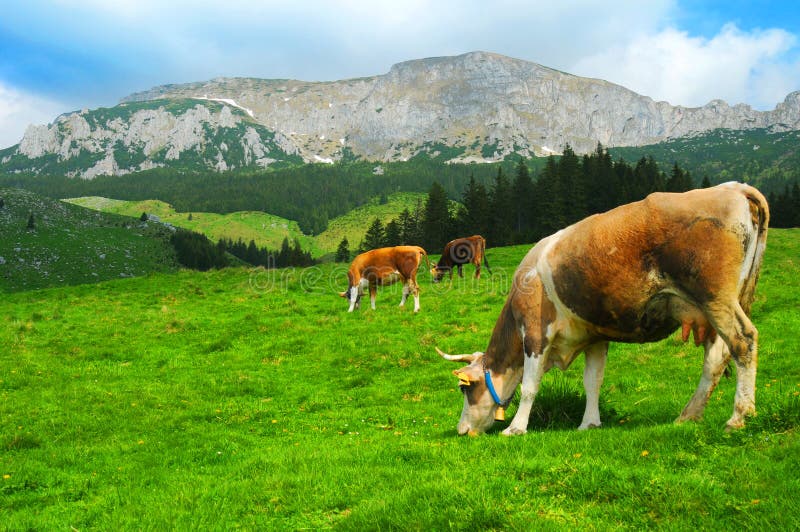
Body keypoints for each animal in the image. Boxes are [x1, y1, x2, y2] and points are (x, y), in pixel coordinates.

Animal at [438, 183, 768, 436]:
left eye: (465, 389)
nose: (461, 430)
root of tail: (734, 187)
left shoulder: (534, 332)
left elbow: (531, 385)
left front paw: (516, 428)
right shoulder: (594, 337)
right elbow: (593, 382)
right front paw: (590, 423)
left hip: (715, 298)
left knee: (743, 341)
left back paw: (739, 416)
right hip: (712, 308)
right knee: (716, 358)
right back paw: (689, 415)